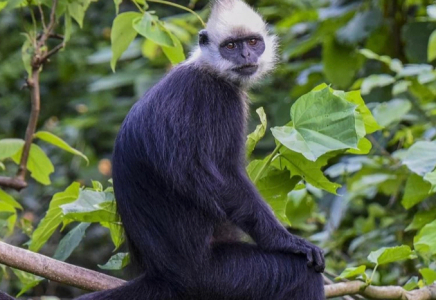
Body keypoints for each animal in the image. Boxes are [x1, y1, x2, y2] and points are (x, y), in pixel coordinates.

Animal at [0, 0, 326, 300]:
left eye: (253, 42)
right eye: (231, 46)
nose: (246, 55)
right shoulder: (217, 99)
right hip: (219, 277)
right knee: (300, 275)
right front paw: (286, 242)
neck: (207, 69)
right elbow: (221, 179)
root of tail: (162, 274)